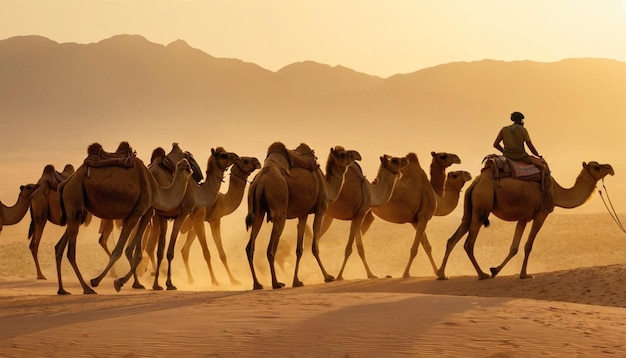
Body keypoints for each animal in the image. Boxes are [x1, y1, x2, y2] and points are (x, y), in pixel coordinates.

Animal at [56, 141, 193, 296]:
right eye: (187, 164)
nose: (189, 166)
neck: (154, 189)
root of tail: (65, 183)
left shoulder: (143, 213)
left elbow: (132, 251)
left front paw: (127, 282)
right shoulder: (137, 212)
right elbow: (119, 250)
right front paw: (100, 281)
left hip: (75, 211)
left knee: (60, 247)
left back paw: (62, 290)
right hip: (74, 196)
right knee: (70, 252)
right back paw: (87, 288)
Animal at [147, 143, 240, 290]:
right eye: (224, 155)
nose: (236, 156)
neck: (199, 193)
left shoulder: (162, 216)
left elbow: (160, 251)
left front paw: (157, 284)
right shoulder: (186, 213)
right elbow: (171, 251)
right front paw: (169, 283)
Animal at [178, 156, 260, 286]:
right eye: (245, 161)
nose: (257, 161)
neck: (222, 201)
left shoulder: (206, 220)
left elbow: (222, 254)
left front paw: (234, 280)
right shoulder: (212, 220)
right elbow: (208, 253)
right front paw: (215, 281)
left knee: (184, 250)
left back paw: (191, 280)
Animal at [245, 143, 360, 290]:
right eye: (343, 154)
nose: (356, 155)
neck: (328, 188)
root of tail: (261, 180)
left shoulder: (303, 214)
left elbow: (299, 249)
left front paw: (297, 281)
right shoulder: (320, 209)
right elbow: (314, 246)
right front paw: (328, 277)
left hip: (257, 211)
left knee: (250, 247)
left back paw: (257, 284)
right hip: (279, 205)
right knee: (270, 250)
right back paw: (276, 283)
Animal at [434, 159, 616, 280]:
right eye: (596, 167)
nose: (610, 167)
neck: (557, 192)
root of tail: (476, 183)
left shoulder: (524, 218)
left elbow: (514, 247)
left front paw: (495, 270)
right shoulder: (542, 214)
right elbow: (528, 245)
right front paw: (524, 274)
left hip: (470, 210)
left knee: (453, 239)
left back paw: (442, 274)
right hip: (482, 207)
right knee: (468, 243)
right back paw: (481, 274)